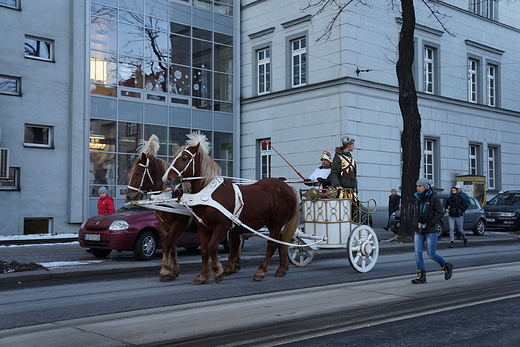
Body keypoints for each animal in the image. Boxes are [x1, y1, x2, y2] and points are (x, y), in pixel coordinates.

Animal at [126, 135, 197, 282]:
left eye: (138, 173)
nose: (129, 195)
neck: (168, 195)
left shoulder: (179, 223)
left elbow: (167, 244)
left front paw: (165, 271)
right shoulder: (164, 224)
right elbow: (171, 245)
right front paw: (173, 271)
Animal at [162, 132, 300, 284]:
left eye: (184, 158)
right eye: (174, 157)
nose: (167, 179)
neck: (207, 193)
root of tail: (287, 186)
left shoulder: (222, 226)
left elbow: (212, 247)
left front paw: (218, 272)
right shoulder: (202, 227)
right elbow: (204, 250)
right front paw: (203, 276)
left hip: (277, 222)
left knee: (272, 245)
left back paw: (261, 271)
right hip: (271, 223)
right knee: (281, 242)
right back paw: (281, 269)